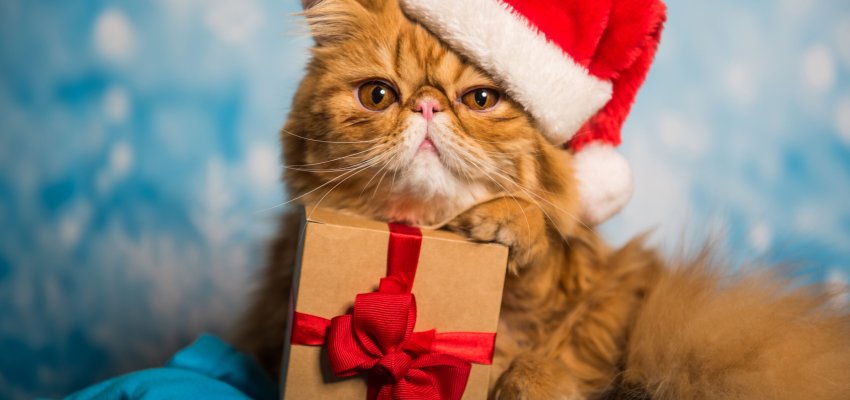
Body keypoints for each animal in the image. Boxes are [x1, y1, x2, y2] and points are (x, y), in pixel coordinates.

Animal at [235, 1, 848, 398]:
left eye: (481, 99)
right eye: (378, 95)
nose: (427, 106)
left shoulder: (600, 284)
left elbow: (550, 267)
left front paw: (511, 225)